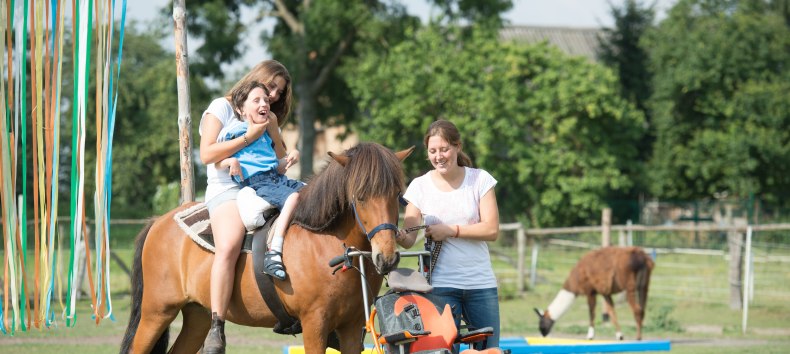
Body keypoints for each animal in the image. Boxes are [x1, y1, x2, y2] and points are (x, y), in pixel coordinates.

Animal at [119, 142, 414, 352]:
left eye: (397, 194)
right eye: (360, 196)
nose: (387, 257)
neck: (323, 240)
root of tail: (158, 222)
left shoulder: (352, 328)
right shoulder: (315, 324)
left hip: (197, 316)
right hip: (156, 313)